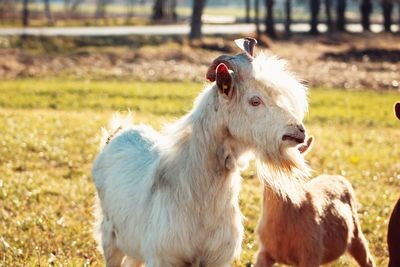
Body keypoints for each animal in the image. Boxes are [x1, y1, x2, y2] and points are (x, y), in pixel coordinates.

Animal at [93, 38, 310, 267]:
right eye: (255, 101)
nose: (299, 131)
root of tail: (117, 133)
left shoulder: (217, 260)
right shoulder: (163, 258)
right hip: (110, 237)